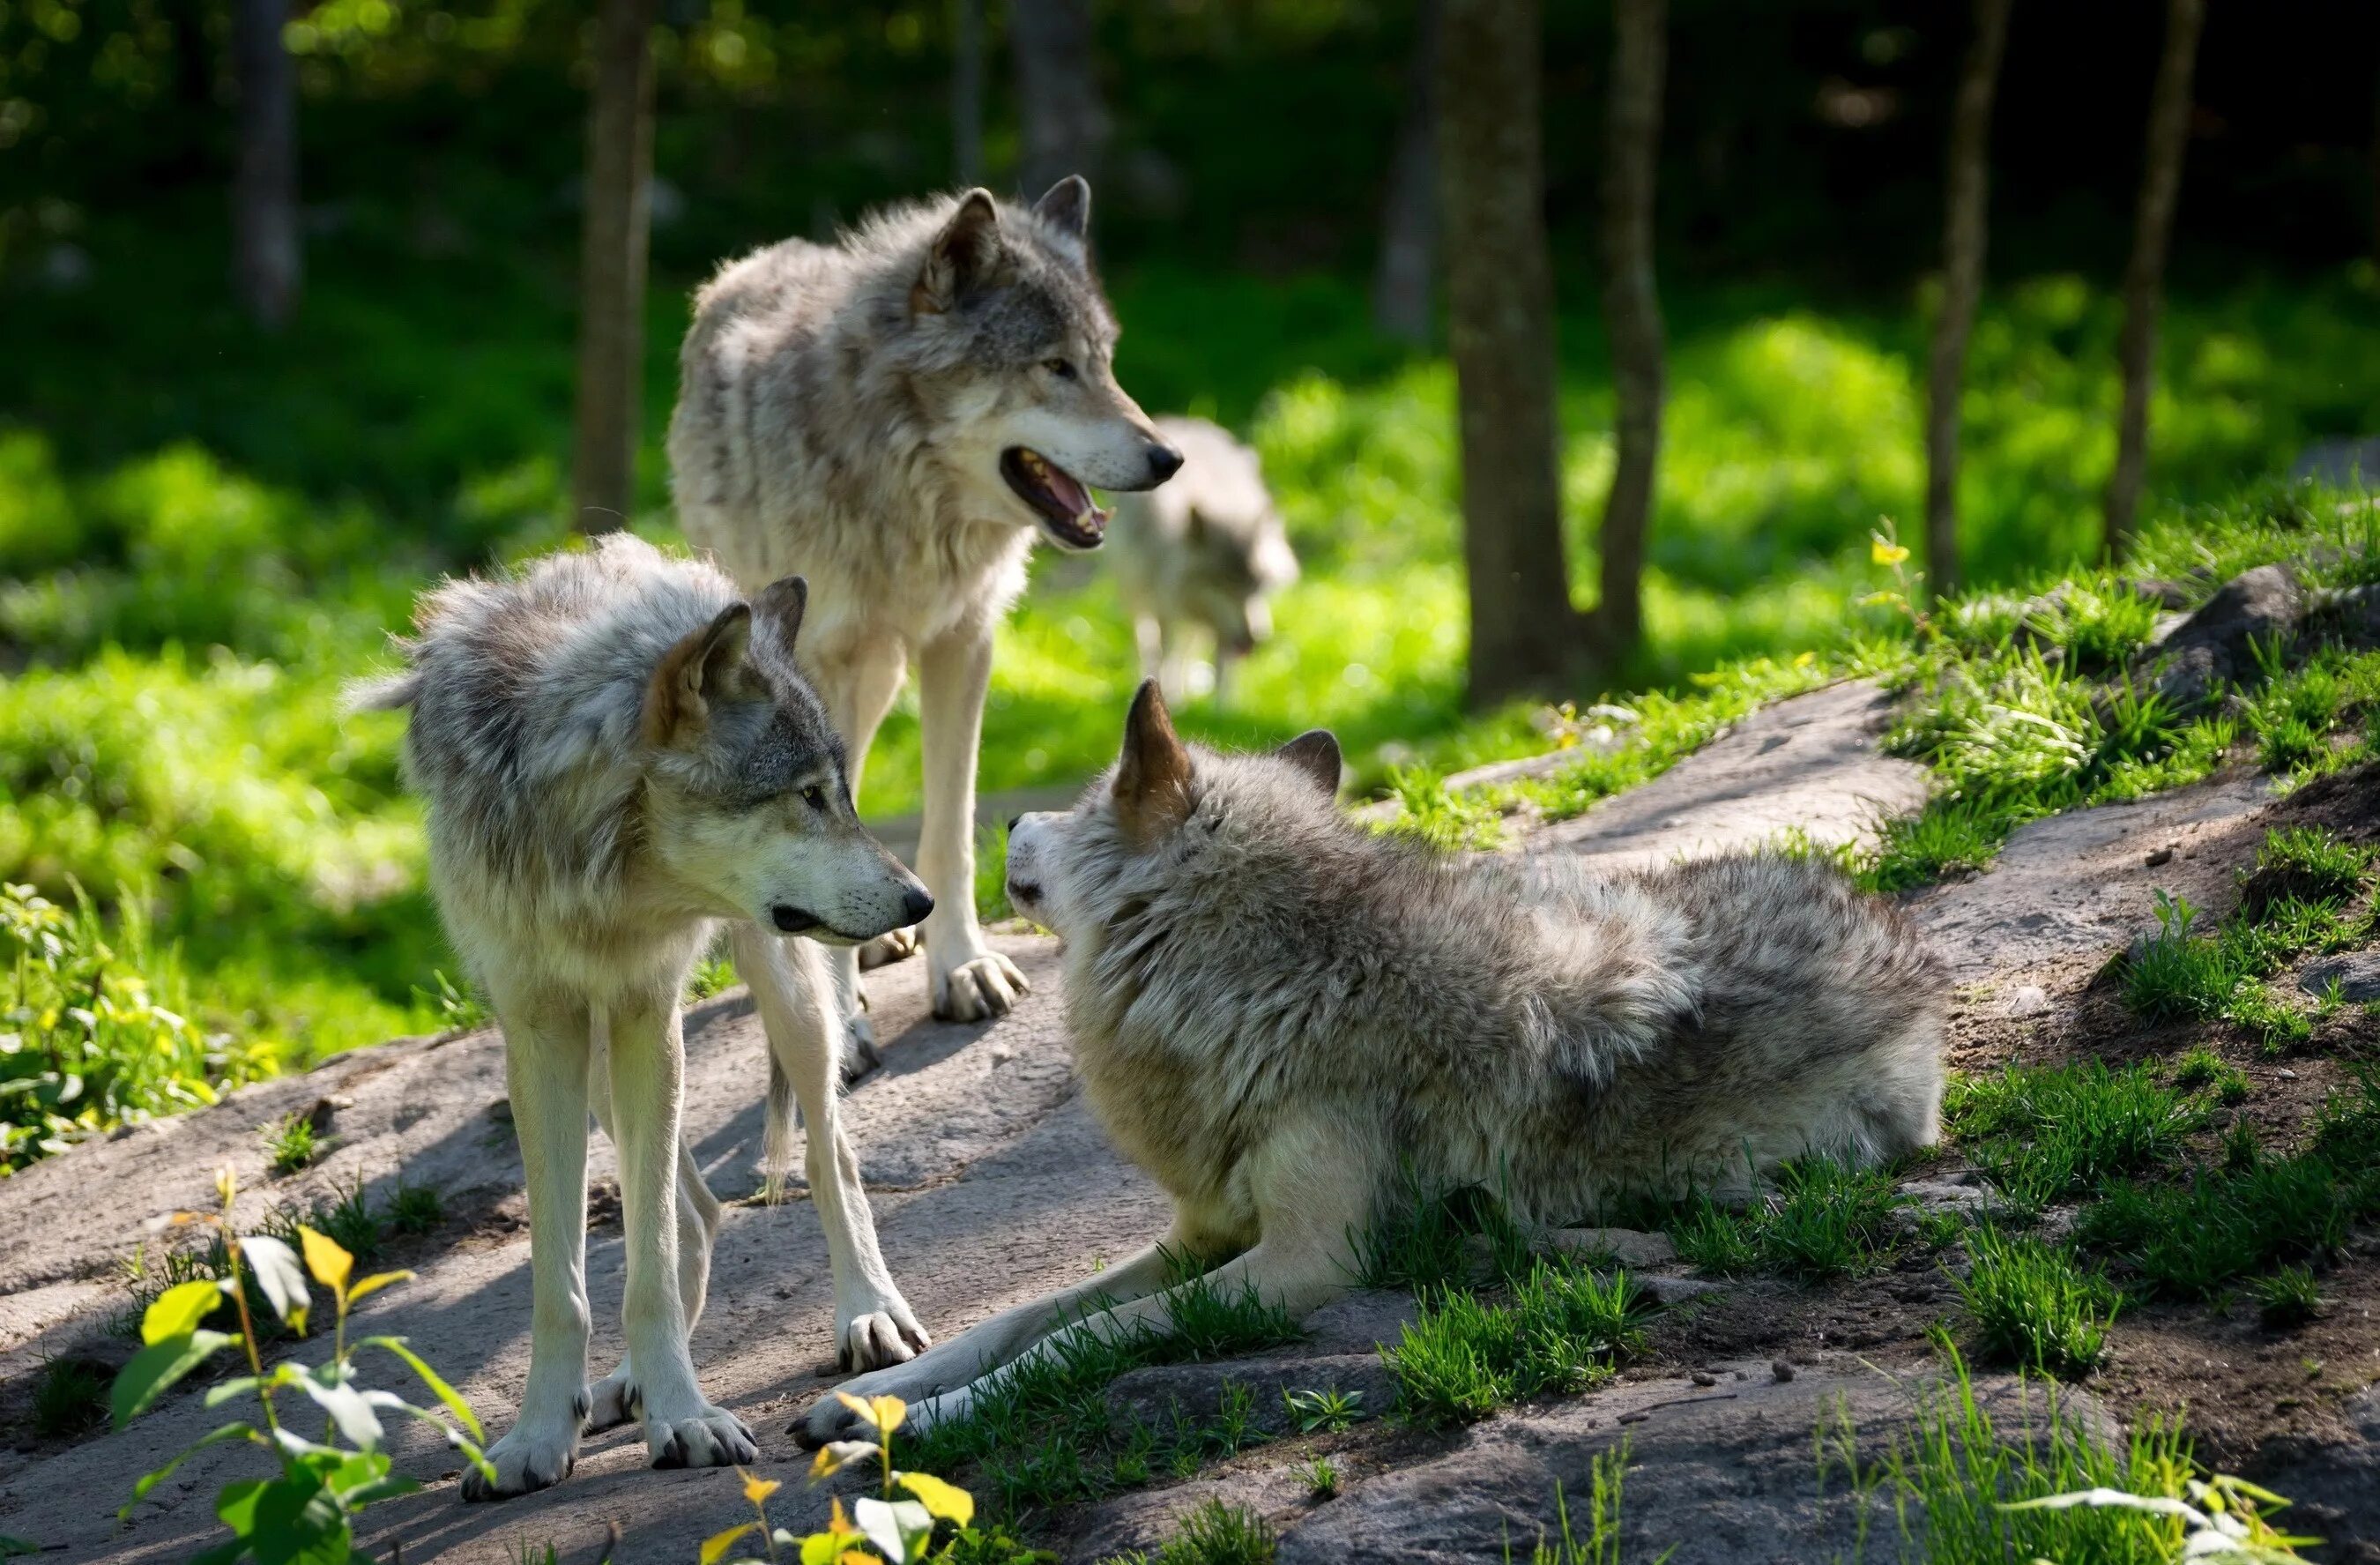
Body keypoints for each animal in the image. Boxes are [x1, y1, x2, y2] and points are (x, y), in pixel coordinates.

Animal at [352, 540, 937, 1505]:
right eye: (806, 794)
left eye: (841, 794)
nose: (920, 899)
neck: (591, 851)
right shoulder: (540, 1023)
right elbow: (564, 1279)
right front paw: (539, 1434)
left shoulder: (644, 1006)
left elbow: (649, 1260)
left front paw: (687, 1418)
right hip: (595, 1062)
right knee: (698, 1209)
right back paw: (624, 1382)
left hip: (785, 993)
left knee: (828, 1155)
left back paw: (870, 1313)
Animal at [666, 171, 1185, 1077]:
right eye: (1054, 367)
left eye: (1106, 363)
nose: (1168, 459)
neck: (905, 496)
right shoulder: (823, 666)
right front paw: (844, 1021)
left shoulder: (964, 640)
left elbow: (950, 826)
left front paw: (962, 965)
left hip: (881, 678)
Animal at [800, 676, 1932, 1438]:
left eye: (1084, 801)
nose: (1014, 823)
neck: (1278, 977)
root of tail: (1904, 939)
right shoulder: (1199, 1232)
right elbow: (1014, 1317)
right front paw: (867, 1395)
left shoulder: (1300, 1262)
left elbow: (1071, 1340)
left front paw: (911, 1424)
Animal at [1109, 414, 1304, 710]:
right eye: (1223, 584)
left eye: (1257, 584)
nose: (1255, 639)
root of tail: (1183, 419)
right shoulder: (1167, 607)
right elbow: (1166, 653)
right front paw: (1171, 697)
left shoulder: (1220, 625)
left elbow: (1222, 668)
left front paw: (1222, 709)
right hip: (1137, 597)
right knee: (1148, 643)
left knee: (1189, 646)